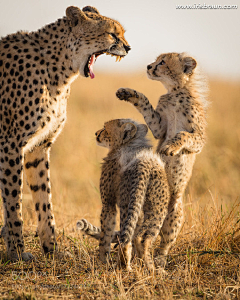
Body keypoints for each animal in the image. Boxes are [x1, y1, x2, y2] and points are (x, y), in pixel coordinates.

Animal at [0, 5, 130, 262]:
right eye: (112, 34)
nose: (128, 48)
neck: (58, 70)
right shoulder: (10, 145)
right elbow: (13, 202)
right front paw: (17, 252)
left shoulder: (39, 146)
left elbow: (44, 199)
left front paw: (52, 249)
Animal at [115, 52, 207, 268]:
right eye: (156, 60)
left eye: (163, 62)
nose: (149, 66)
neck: (175, 91)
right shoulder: (159, 128)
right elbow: (146, 104)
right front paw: (129, 93)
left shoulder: (199, 137)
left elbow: (184, 135)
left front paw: (170, 147)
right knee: (138, 234)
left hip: (173, 212)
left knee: (164, 242)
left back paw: (159, 260)